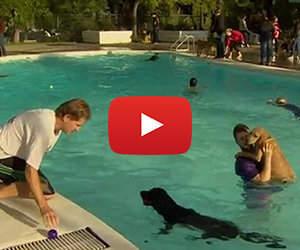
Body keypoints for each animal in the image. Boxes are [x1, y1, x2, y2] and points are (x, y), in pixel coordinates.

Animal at [141, 188, 286, 248]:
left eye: (149, 192)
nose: (140, 191)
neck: (170, 207)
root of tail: (238, 232)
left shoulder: (170, 222)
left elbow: (166, 229)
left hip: (213, 231)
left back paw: (193, 238)